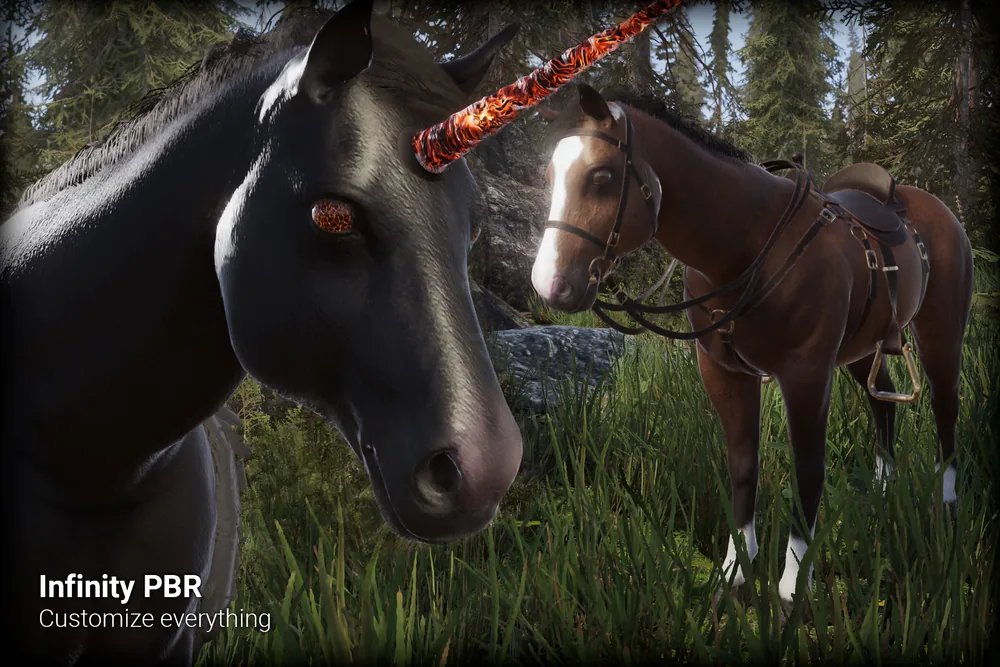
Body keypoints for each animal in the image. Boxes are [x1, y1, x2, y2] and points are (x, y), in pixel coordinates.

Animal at [530, 84, 974, 615]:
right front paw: (735, 573)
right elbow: (743, 466)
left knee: (945, 407)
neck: (750, 247)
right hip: (862, 347)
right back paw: (884, 494)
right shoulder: (725, 373)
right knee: (882, 402)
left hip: (940, 333)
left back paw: (947, 503)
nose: (550, 284)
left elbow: (808, 472)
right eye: (549, 175)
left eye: (600, 176)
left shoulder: (806, 373)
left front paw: (791, 588)